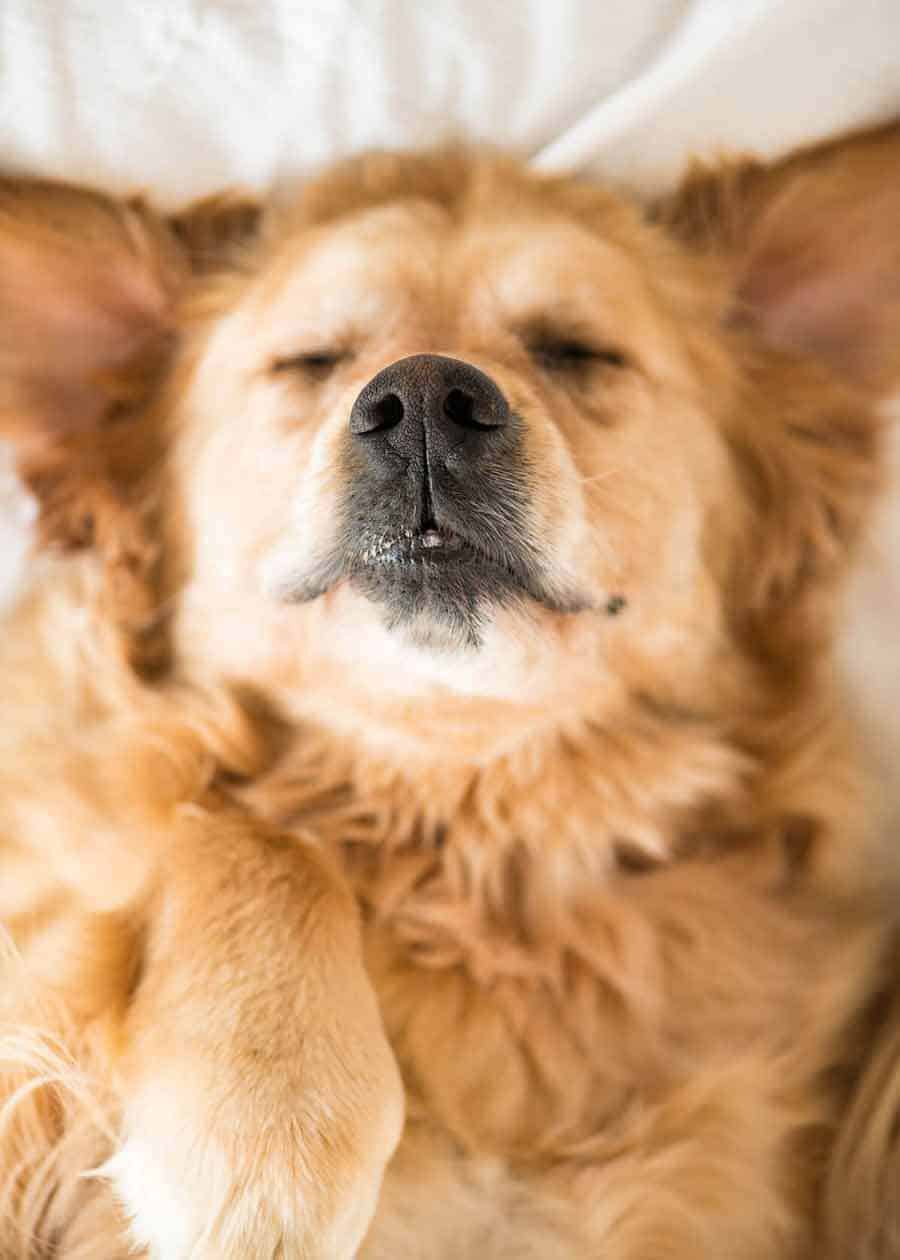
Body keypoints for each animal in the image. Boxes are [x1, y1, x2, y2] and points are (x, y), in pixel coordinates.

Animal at [1, 120, 897, 1260]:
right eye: (311, 360)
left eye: (575, 350)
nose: (426, 397)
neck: (464, 838)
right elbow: (252, 830)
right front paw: (265, 1128)